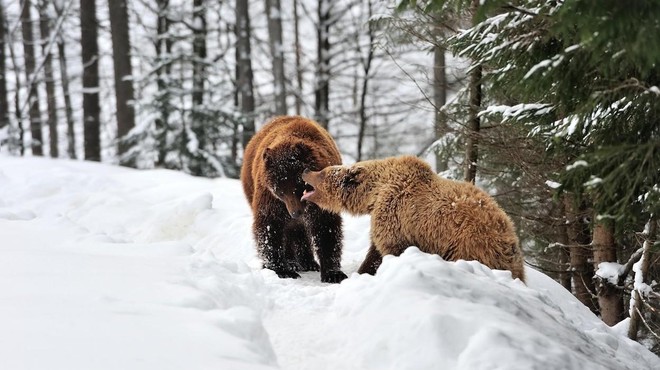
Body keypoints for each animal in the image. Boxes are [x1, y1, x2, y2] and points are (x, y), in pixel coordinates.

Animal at [241, 116, 346, 284]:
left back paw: (308, 262)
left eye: (299, 186)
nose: (295, 213)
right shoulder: (270, 197)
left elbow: (326, 226)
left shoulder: (321, 198)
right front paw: (281, 269)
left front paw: (333, 273)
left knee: (299, 232)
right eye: (280, 191)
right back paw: (291, 262)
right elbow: (269, 225)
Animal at [302, 155, 524, 282]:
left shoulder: (394, 214)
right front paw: (363, 271)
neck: (375, 193)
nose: (306, 169)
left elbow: (388, 249)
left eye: (322, 172)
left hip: (468, 243)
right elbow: (375, 251)